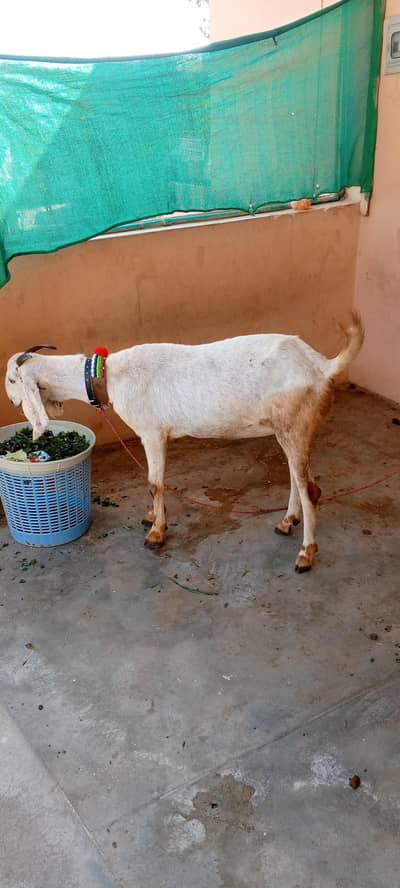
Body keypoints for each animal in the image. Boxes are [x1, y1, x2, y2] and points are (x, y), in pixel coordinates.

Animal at [5, 312, 364, 571]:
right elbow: (155, 482)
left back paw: (306, 553)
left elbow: (154, 482)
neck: (109, 375)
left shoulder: (152, 432)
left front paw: (156, 533)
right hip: (290, 428)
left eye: (11, 380)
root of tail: (322, 366)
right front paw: (152, 516)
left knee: (311, 490)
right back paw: (288, 521)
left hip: (295, 425)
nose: (10, 402)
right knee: (299, 479)